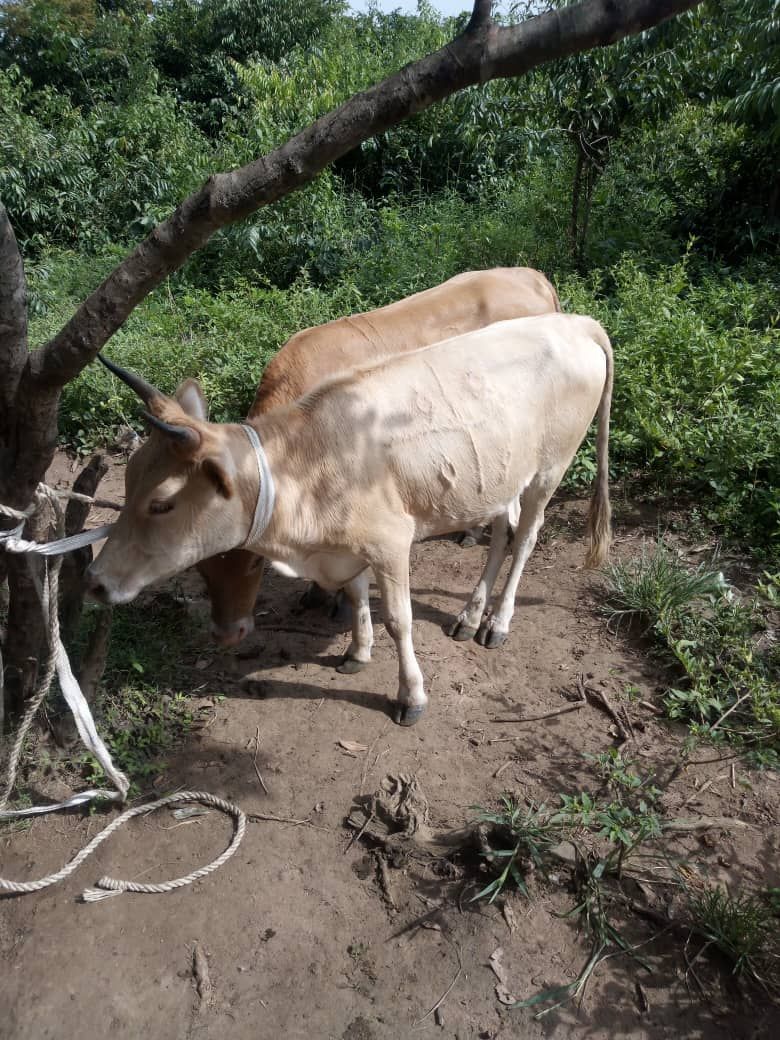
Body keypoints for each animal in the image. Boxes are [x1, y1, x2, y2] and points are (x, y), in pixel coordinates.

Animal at [86, 312, 613, 727]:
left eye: (162, 503)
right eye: (127, 484)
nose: (94, 581)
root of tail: (575, 322)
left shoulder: (391, 542)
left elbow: (399, 619)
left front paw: (411, 695)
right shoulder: (346, 546)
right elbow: (357, 594)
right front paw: (358, 651)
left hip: (550, 467)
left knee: (527, 537)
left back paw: (497, 623)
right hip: (499, 477)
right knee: (503, 531)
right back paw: (469, 614)